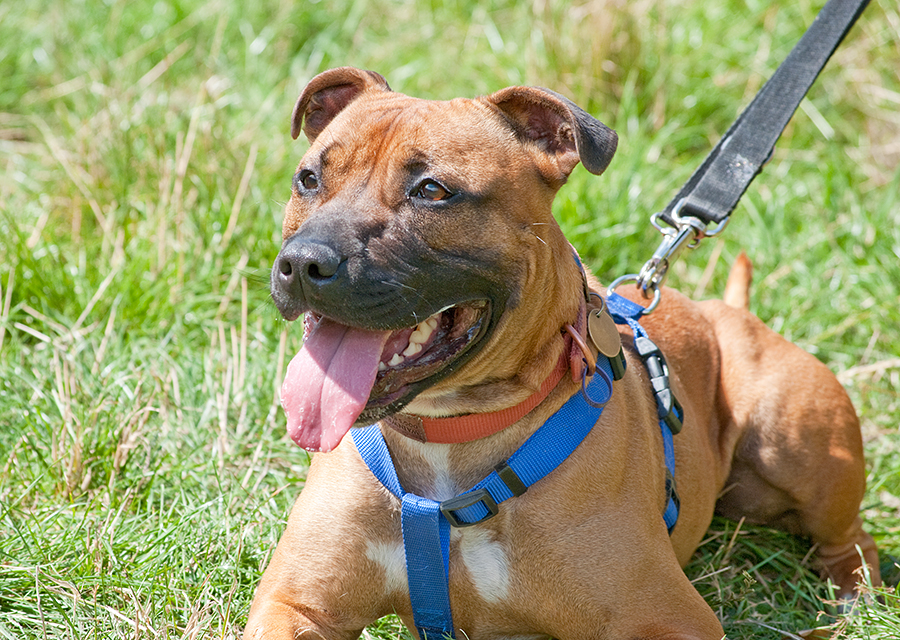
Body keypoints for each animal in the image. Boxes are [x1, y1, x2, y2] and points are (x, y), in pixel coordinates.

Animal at [244, 66, 880, 640]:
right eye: (308, 179)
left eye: (432, 191)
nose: (304, 261)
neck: (449, 435)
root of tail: (729, 310)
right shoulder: (296, 603)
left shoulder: (671, 620)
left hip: (794, 446)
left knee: (852, 540)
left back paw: (851, 601)